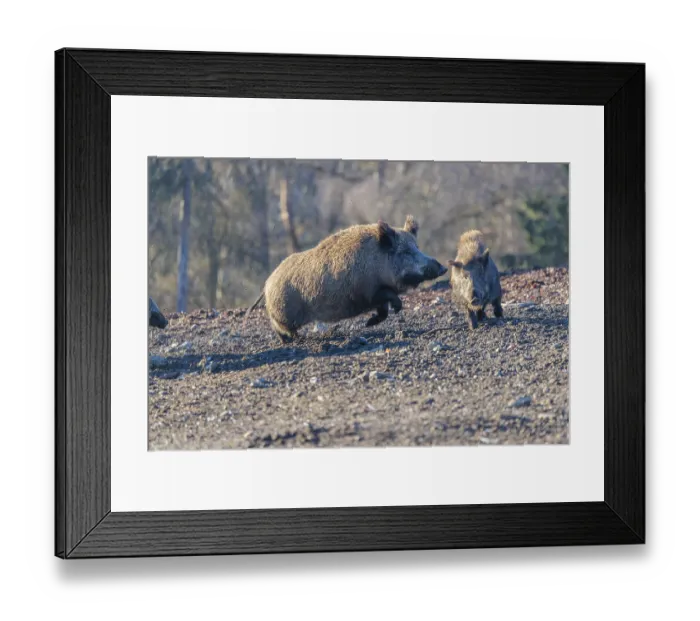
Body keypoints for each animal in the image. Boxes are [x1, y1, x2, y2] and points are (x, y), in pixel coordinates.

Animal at [245, 215, 447, 342]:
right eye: (405, 252)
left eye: (417, 247)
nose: (443, 267)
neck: (378, 262)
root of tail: (267, 283)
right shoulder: (369, 292)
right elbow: (389, 298)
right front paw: (393, 310)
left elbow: (383, 311)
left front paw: (369, 323)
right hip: (284, 312)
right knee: (280, 326)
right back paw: (298, 339)